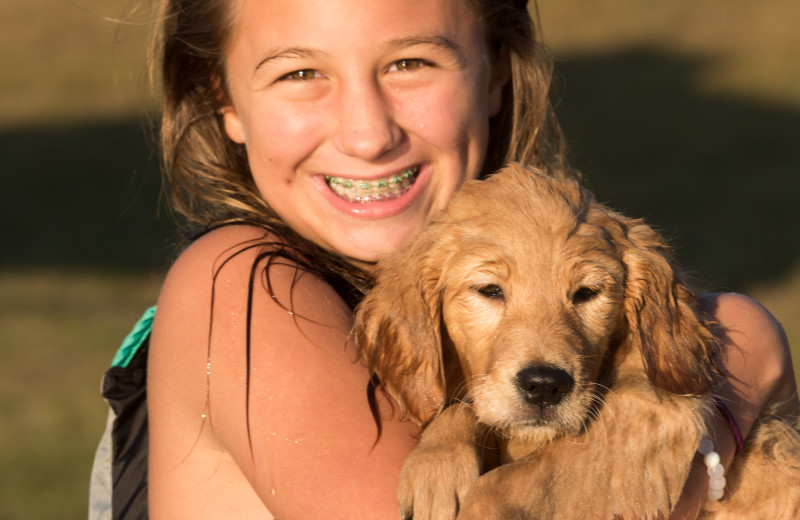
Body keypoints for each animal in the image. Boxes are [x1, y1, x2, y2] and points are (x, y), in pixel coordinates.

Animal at [356, 166, 800, 520]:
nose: (544, 386)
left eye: (587, 293)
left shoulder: (657, 411)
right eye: (489, 290)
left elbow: (511, 482)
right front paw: (435, 465)